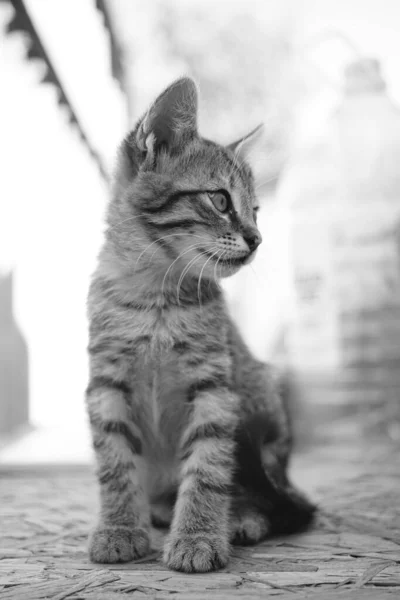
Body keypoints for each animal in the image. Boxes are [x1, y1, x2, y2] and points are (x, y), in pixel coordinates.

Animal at [86, 77, 314, 576]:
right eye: (221, 199)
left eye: (256, 210)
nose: (257, 239)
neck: (156, 297)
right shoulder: (107, 384)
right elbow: (115, 464)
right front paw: (119, 529)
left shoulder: (215, 390)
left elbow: (208, 469)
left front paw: (198, 535)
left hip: (260, 402)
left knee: (271, 498)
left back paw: (240, 517)